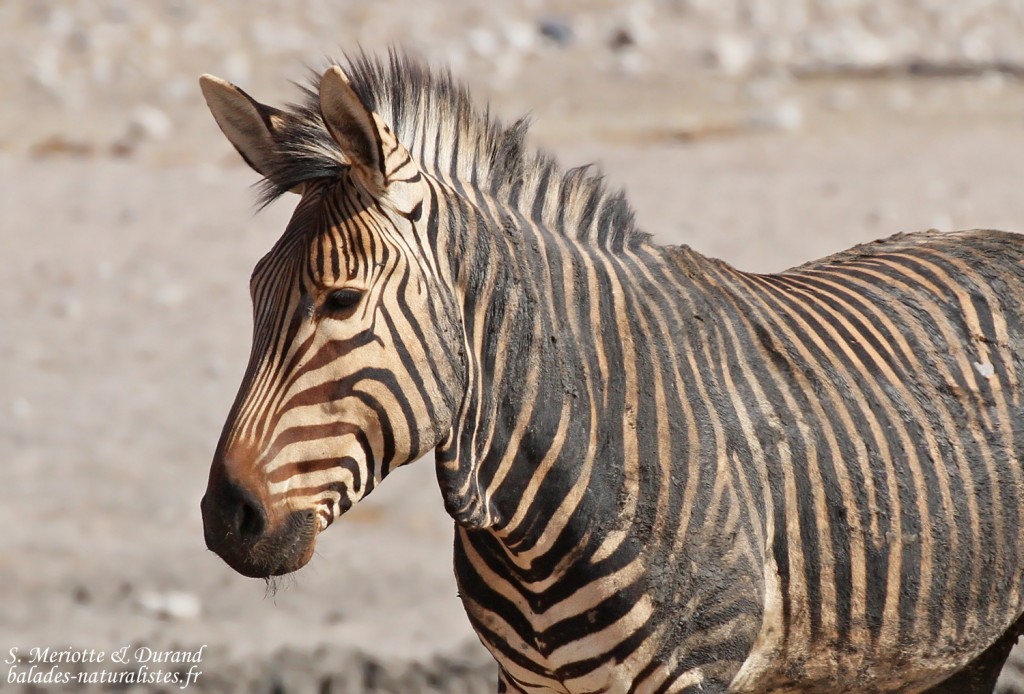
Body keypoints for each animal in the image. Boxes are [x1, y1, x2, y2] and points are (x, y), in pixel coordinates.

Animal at [198, 51, 1024, 692]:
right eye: (253, 293)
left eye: (340, 301)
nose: (226, 518)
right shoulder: (524, 681)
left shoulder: (694, 676)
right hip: (954, 652)